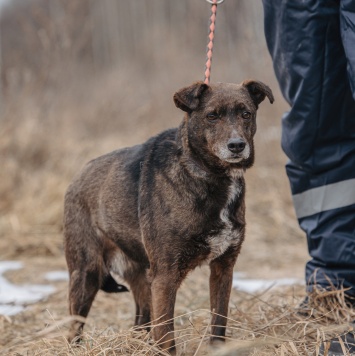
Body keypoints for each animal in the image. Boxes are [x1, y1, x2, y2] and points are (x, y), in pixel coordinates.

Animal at [64, 79, 276, 352]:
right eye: (212, 116)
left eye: (246, 114)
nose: (237, 145)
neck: (207, 174)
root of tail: (78, 176)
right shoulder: (165, 276)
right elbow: (166, 336)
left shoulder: (223, 267)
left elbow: (219, 321)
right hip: (86, 273)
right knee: (75, 328)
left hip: (143, 278)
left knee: (141, 322)